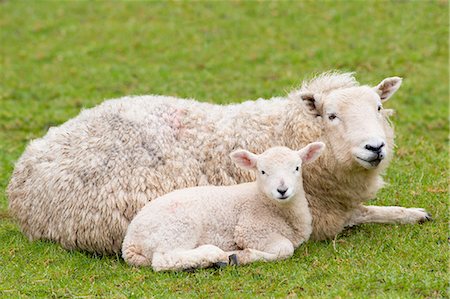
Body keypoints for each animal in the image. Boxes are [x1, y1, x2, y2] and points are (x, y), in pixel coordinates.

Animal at [5, 71, 430, 254]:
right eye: (332, 116)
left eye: (379, 108)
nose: (375, 147)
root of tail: (25, 166)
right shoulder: (320, 219)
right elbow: (359, 215)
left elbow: (370, 211)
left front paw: (412, 213)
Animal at [120, 144, 324, 272]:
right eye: (263, 171)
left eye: (297, 168)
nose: (282, 190)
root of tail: (129, 242)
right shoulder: (250, 229)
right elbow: (285, 248)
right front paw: (245, 255)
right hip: (178, 226)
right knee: (164, 259)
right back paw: (215, 254)